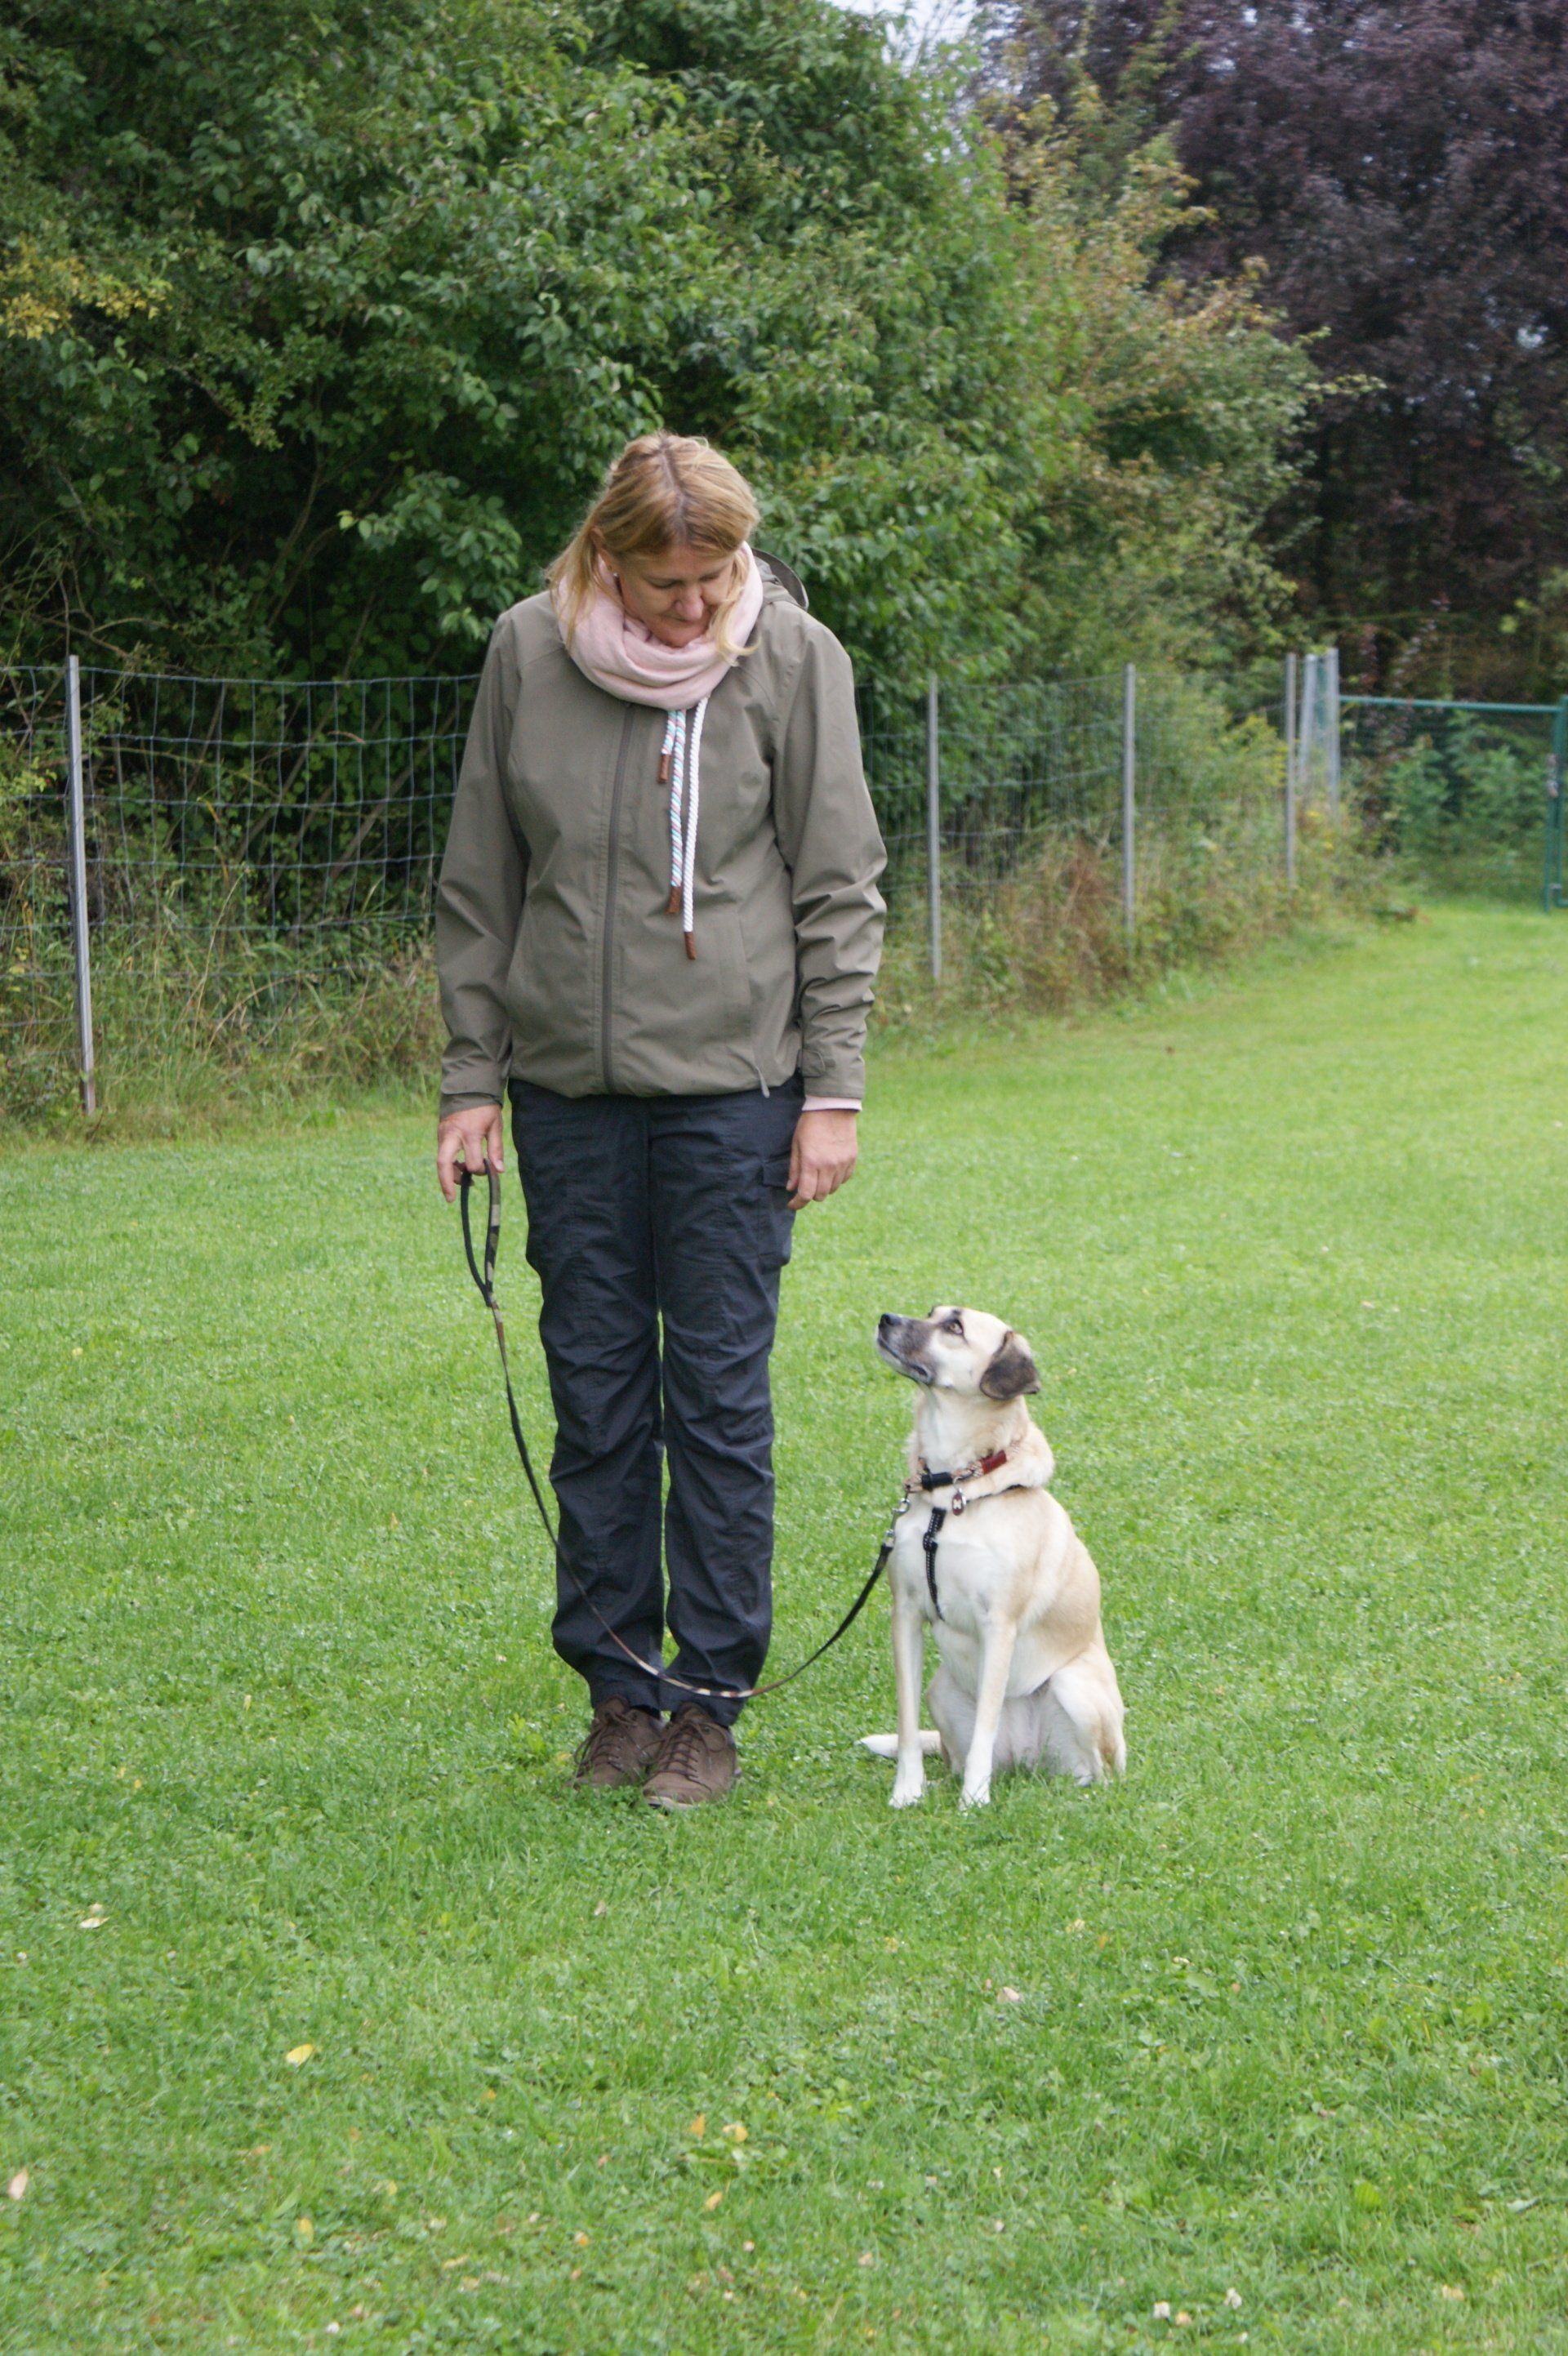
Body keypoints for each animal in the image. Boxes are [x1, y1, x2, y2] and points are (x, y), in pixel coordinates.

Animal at [864, 1307, 1126, 1810]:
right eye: (930, 1313)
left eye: (955, 1327)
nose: (885, 1318)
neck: (951, 1490)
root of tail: (1025, 1759)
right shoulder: (904, 1613)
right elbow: (907, 1726)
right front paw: (907, 1793)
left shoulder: (999, 1624)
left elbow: (986, 1725)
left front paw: (973, 1802)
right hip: (942, 1688)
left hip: (1074, 1688)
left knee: (1094, 1772)